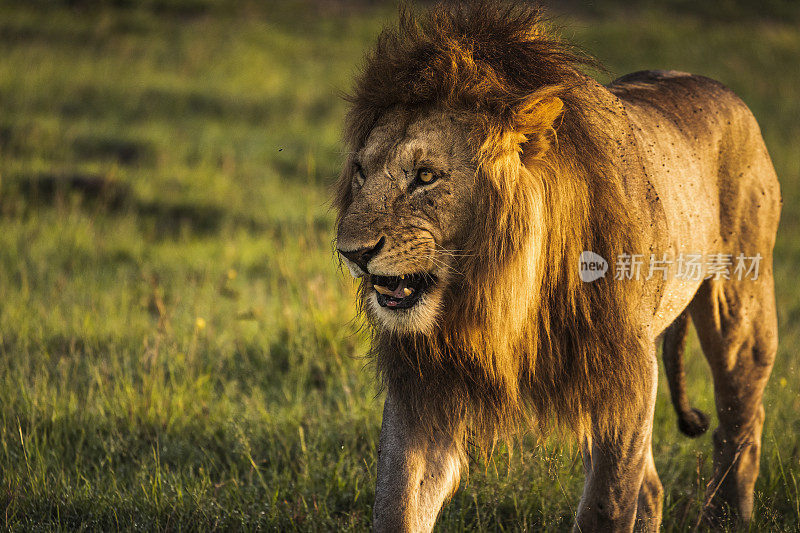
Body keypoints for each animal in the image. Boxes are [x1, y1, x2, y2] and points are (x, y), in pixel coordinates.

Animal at [332, 2, 780, 528]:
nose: (351, 252)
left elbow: (607, 505)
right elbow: (398, 501)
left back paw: (728, 517)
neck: (504, 290)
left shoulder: (624, 374)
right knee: (652, 487)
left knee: (740, 425)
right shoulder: (424, 382)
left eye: (425, 176)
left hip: (741, 311)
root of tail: (723, 90)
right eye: (360, 172)